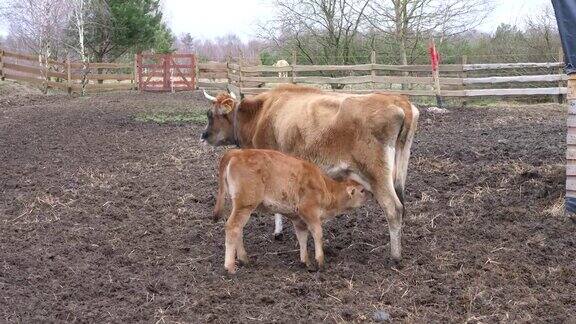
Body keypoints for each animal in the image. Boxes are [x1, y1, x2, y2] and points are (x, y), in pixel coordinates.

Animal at [214, 149, 366, 274]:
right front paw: (320, 262)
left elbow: (302, 237)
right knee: (232, 227)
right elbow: (317, 233)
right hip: (245, 205)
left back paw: (244, 260)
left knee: (238, 228)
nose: (368, 195)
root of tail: (237, 153)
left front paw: (306, 262)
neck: (325, 186)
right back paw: (230, 267)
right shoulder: (309, 211)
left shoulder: (299, 220)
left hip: (240, 206)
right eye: (362, 190)